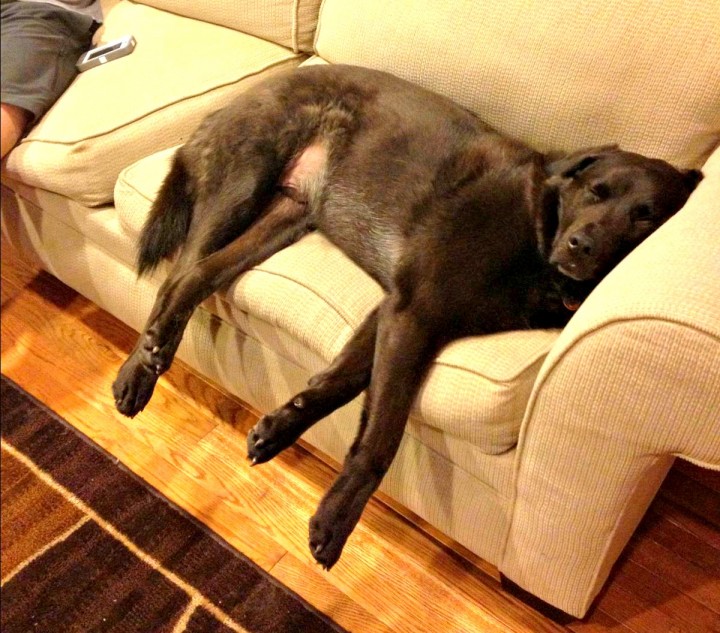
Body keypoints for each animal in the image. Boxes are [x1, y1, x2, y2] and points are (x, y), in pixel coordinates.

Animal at [112, 63, 704, 568]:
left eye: (644, 218)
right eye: (595, 192)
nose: (582, 247)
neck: (539, 230)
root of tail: (246, 94)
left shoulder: (395, 312)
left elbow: (338, 384)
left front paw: (281, 427)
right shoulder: (416, 313)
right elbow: (382, 435)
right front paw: (336, 520)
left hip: (287, 217)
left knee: (197, 276)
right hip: (245, 183)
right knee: (177, 278)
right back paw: (139, 372)